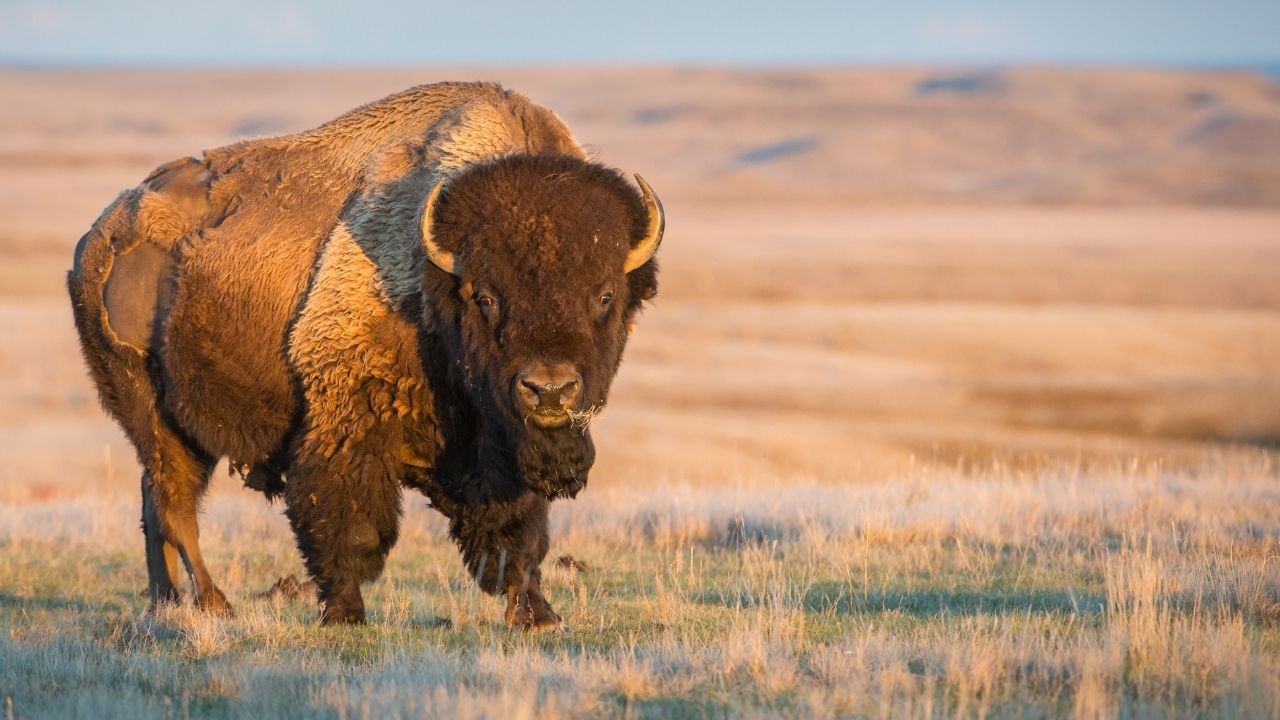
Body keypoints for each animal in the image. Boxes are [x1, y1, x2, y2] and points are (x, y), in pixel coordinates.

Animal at [67, 81, 670, 625]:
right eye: (485, 296)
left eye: (605, 295)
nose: (549, 389)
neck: (434, 283)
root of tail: (99, 236)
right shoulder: (346, 424)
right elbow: (347, 525)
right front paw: (344, 614)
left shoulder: (504, 452)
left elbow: (518, 536)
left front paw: (538, 616)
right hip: (151, 413)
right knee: (174, 505)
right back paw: (215, 605)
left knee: (155, 506)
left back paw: (165, 602)